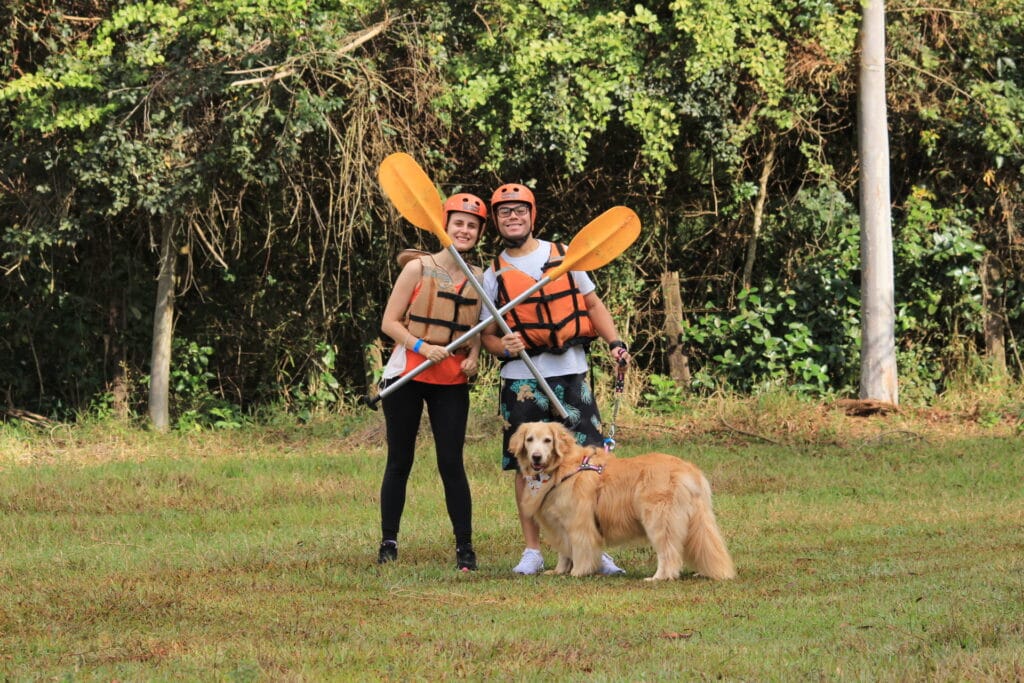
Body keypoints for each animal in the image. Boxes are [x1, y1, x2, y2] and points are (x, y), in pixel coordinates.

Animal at [509, 421, 737, 581]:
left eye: (547, 440)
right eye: (530, 439)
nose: (536, 457)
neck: (562, 467)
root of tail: (689, 470)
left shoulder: (579, 523)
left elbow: (580, 550)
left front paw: (578, 572)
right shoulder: (560, 526)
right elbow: (565, 552)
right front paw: (559, 571)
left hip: (659, 520)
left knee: (669, 553)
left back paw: (658, 577)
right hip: (698, 521)